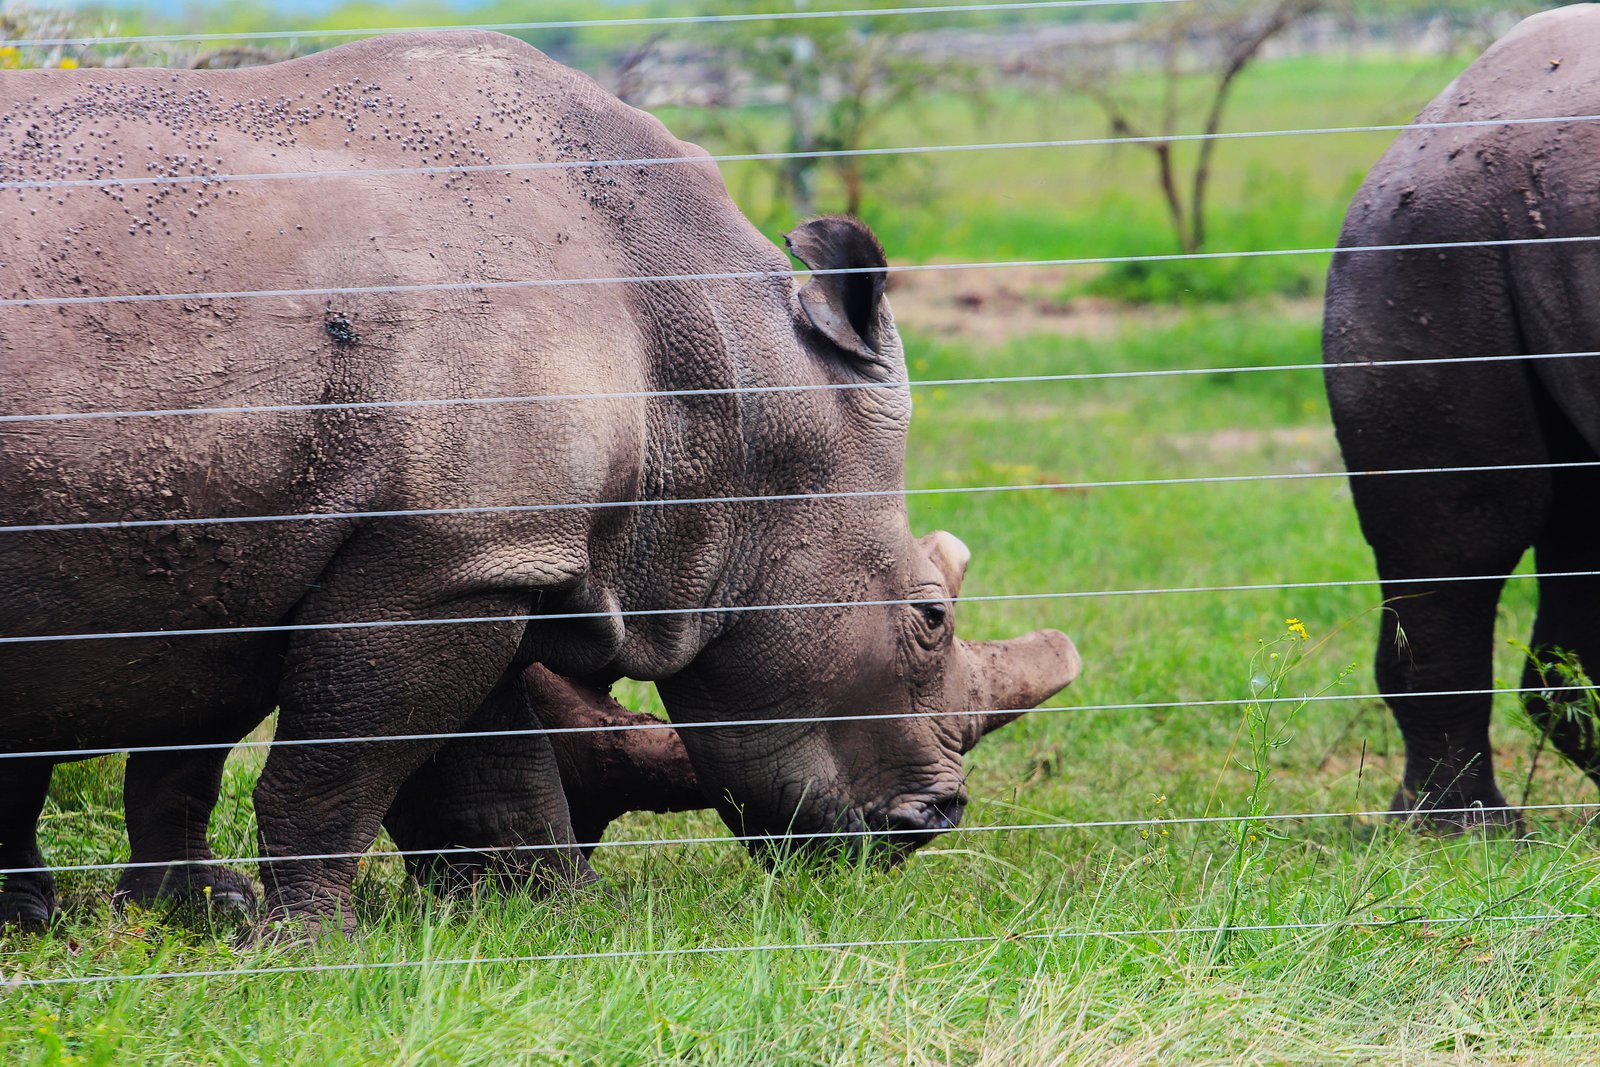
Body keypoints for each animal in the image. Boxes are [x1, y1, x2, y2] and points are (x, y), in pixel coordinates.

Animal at [0, 31, 1081, 934]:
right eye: (929, 614)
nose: (933, 819)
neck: (726, 386)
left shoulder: (485, 553)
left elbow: (489, 765)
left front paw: (553, 915)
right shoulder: (450, 557)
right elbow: (341, 764)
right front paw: (311, 942)